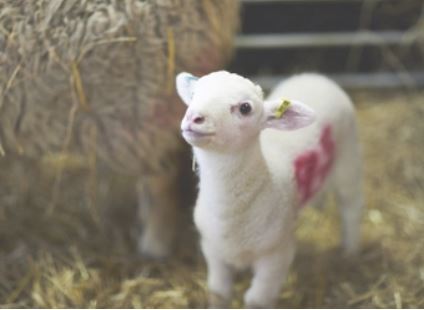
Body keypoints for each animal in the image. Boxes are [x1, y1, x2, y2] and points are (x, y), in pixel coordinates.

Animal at [176, 71, 364, 308]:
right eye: (193, 95)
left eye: (245, 108)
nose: (194, 118)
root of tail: (317, 76)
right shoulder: (213, 249)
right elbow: (219, 292)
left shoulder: (277, 255)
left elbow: (257, 300)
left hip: (349, 155)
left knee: (351, 207)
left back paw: (350, 251)